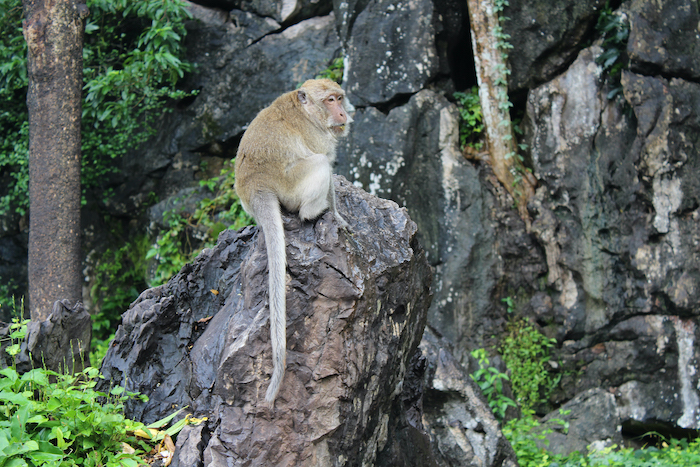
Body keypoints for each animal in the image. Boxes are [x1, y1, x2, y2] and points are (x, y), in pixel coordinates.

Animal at [237, 78, 356, 404]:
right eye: (330, 100)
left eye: (339, 97)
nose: (343, 113)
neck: (307, 111)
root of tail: (257, 184)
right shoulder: (318, 135)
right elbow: (326, 161)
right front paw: (338, 214)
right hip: (291, 184)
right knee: (319, 166)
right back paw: (315, 211)